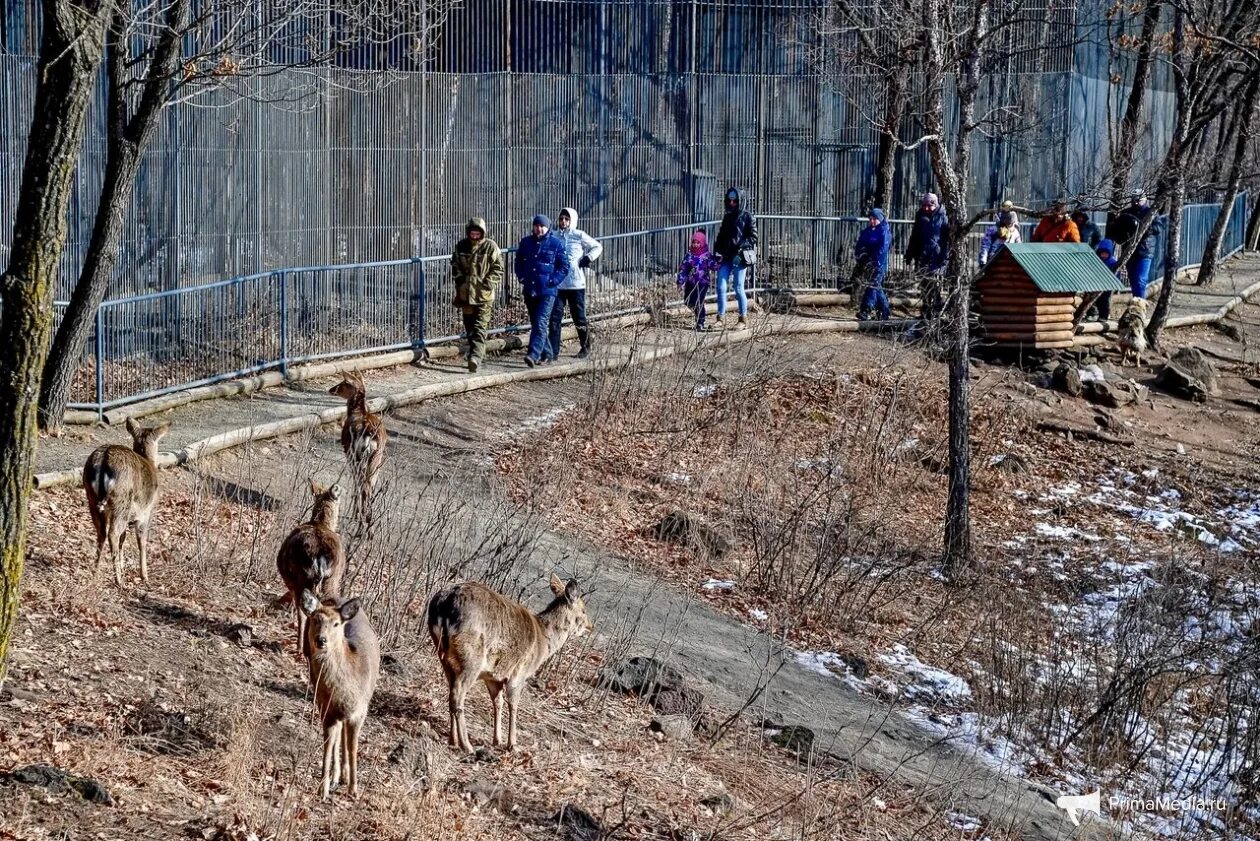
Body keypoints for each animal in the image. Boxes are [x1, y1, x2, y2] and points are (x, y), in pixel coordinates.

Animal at [82, 418, 172, 590]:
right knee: (112, 534)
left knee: (102, 533)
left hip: (92, 498)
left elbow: (124, 538)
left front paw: (124, 567)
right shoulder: (146, 512)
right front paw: (144, 576)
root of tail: (102, 462)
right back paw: (119, 581)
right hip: (121, 502)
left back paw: (95, 573)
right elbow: (141, 541)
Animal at [299, 592, 378, 801]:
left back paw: (343, 776)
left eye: (336, 624)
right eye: (315, 619)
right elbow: (328, 745)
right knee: (337, 736)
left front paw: (354, 789)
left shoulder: (361, 710)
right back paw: (336, 777)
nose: (321, 640)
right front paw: (323, 790)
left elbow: (353, 747)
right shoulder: (325, 709)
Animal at [327, 375, 385, 514]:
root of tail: (369, 432)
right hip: (377, 457)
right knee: (370, 484)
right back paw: (367, 515)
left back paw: (358, 513)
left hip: (356, 455)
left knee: (362, 484)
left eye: (344, 383)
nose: (331, 389)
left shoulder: (348, 451)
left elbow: (356, 481)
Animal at [425, 574, 592, 751]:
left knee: (451, 692)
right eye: (583, 610)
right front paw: (513, 744)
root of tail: (444, 604)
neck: (543, 643)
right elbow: (513, 703)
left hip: (443, 654)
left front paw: (497, 740)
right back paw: (467, 745)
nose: (591, 626)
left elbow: (498, 702)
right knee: (457, 694)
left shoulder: (493, 675)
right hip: (471, 657)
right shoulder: (519, 672)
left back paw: (453, 740)